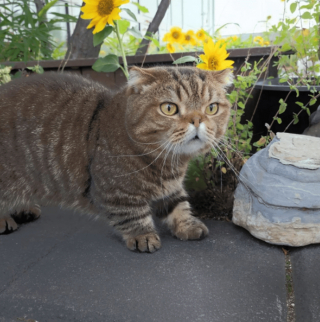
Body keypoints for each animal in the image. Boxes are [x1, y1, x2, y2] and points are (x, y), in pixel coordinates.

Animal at [0, 66, 232, 253]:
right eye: (169, 108)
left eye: (211, 108)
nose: (197, 119)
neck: (167, 164)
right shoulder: (116, 191)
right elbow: (133, 215)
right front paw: (143, 235)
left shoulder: (171, 187)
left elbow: (179, 205)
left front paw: (187, 224)